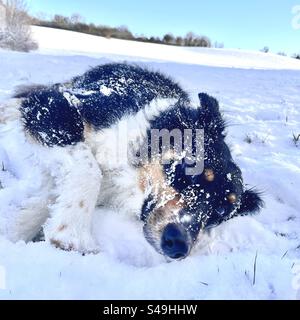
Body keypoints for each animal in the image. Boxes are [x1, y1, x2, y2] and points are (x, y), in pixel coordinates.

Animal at [0, 63, 262, 260]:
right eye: (190, 168)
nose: (179, 245)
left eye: (220, 212)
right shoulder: (55, 107)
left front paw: (21, 225)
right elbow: (89, 170)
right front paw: (72, 233)